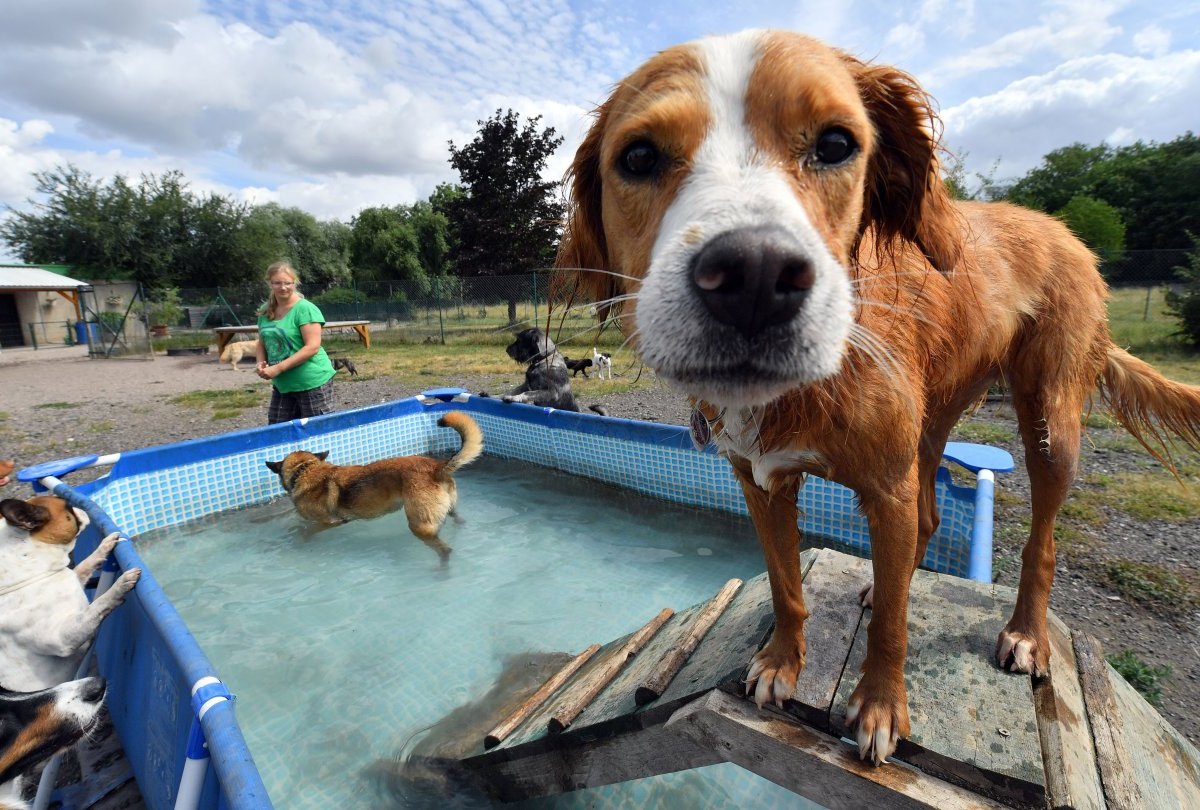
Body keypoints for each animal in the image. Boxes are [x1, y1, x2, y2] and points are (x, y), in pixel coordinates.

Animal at [0, 496, 141, 696]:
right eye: (68, 507)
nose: (80, 507)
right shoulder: (62, 637)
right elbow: (95, 606)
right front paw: (120, 585)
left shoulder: (75, 579)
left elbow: (85, 565)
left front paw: (104, 546)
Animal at [266, 412, 482, 556]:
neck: (305, 470)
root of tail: (437, 467)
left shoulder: (329, 522)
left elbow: (307, 531)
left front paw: (300, 539)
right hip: (447, 510)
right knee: (457, 520)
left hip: (419, 525)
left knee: (444, 549)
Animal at [480, 328, 609, 417]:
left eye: (520, 340)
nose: (507, 350)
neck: (542, 360)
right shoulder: (526, 385)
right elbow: (509, 391)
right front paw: (494, 396)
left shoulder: (550, 392)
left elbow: (527, 393)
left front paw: (514, 398)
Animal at [556, 30, 1200, 768]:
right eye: (638, 157)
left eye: (836, 144)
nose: (754, 277)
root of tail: (1064, 229)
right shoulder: (762, 484)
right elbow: (786, 587)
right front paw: (782, 663)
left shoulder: (884, 487)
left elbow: (892, 623)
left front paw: (881, 707)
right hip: (933, 418)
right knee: (928, 517)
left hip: (1048, 422)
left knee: (1040, 541)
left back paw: (1026, 633)